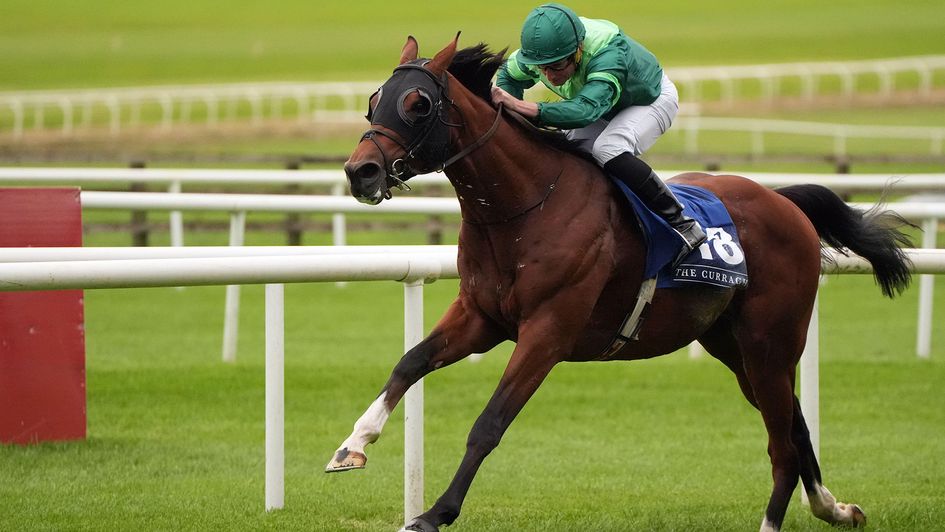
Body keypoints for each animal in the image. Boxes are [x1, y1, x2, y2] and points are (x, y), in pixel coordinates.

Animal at [328, 35, 912, 528]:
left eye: (418, 105)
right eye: (374, 99)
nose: (361, 172)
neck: (524, 206)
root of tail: (783, 201)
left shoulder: (548, 331)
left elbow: (489, 424)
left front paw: (433, 514)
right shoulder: (482, 316)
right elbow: (410, 362)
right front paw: (352, 444)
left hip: (771, 342)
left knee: (782, 444)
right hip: (733, 345)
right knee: (794, 424)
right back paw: (835, 508)